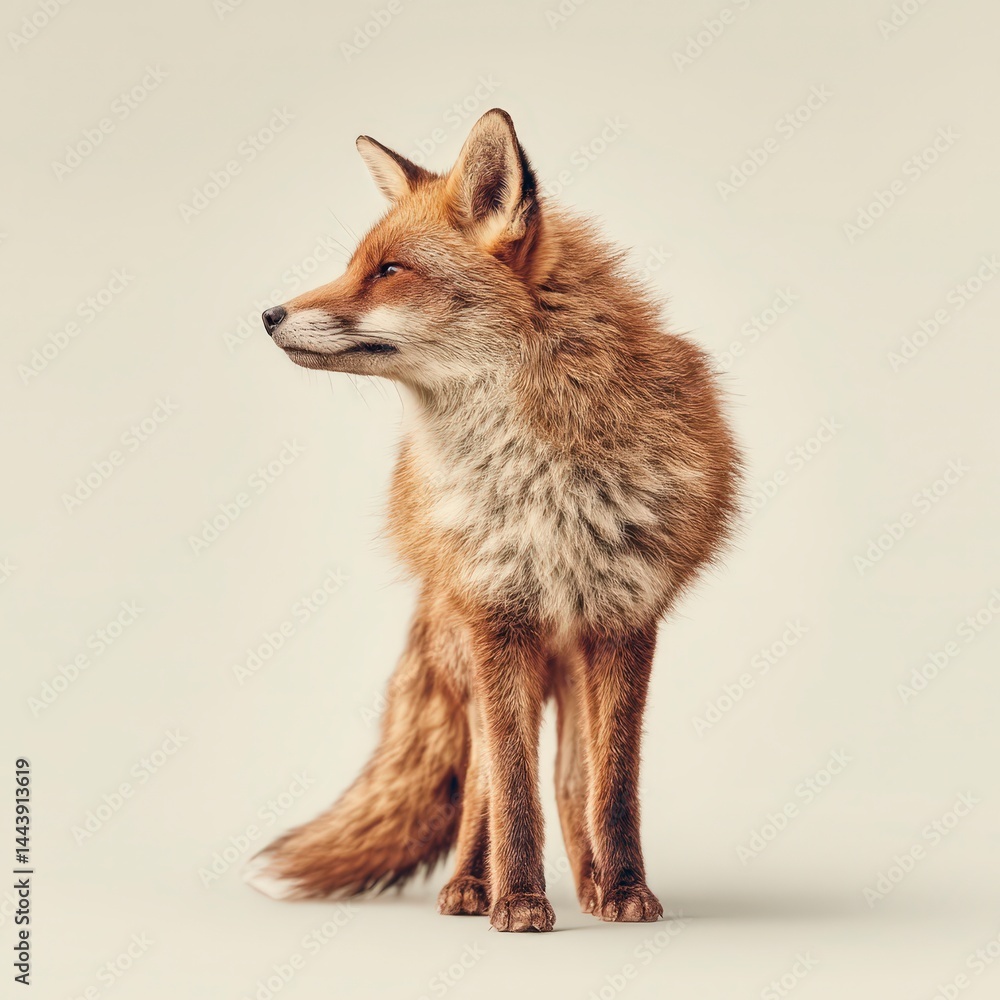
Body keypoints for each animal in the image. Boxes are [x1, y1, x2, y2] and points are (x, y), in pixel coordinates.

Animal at [244, 108, 741, 932]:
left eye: (388, 271)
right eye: (355, 265)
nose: (267, 314)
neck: (541, 480)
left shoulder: (626, 621)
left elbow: (612, 789)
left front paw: (628, 892)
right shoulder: (498, 617)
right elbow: (510, 787)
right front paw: (519, 901)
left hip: (568, 657)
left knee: (571, 778)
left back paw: (595, 885)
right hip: (484, 648)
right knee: (483, 777)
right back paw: (471, 886)